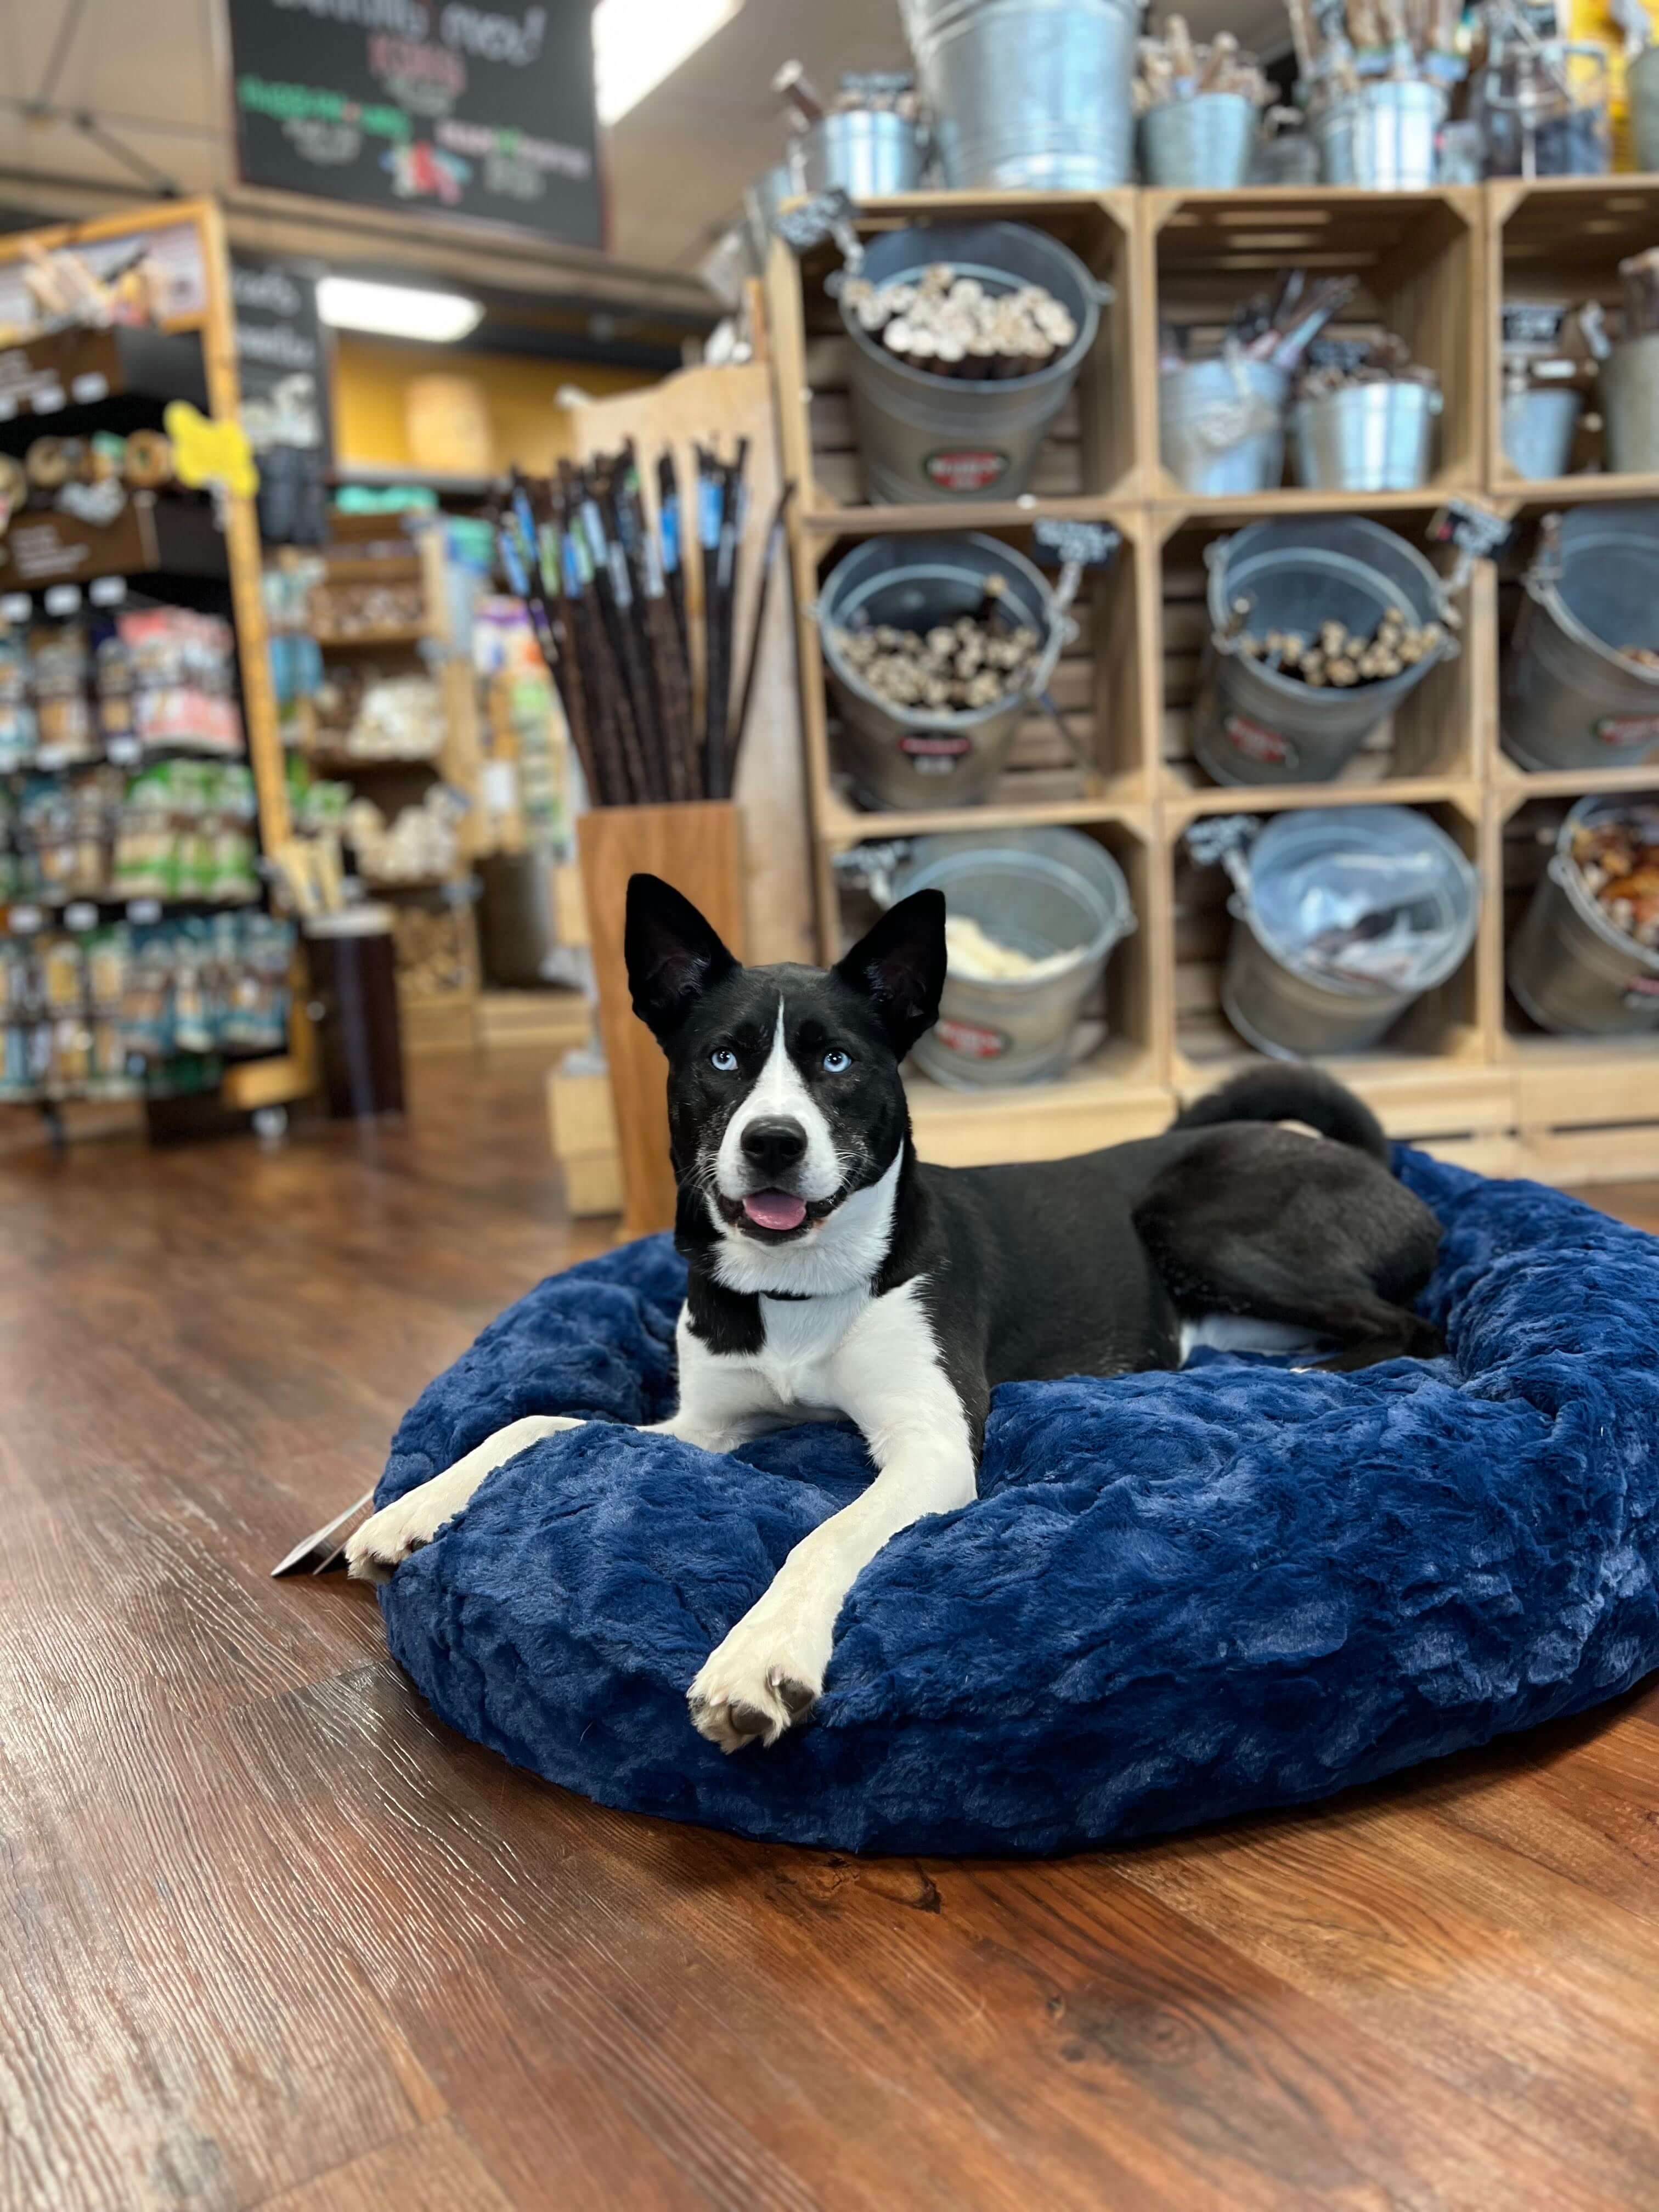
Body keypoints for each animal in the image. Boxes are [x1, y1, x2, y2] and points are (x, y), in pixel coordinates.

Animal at [347, 871, 1442, 1752]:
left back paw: (1295, 1377)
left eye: (836, 1062)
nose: (774, 1143)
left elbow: (822, 1537)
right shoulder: (703, 1421)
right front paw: (407, 1509)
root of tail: (1371, 1160)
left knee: (1414, 1333)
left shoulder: (929, 1443)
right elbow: (537, 1422)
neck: (803, 1280)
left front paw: (759, 1660)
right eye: (721, 1060)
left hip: (1192, 1217)